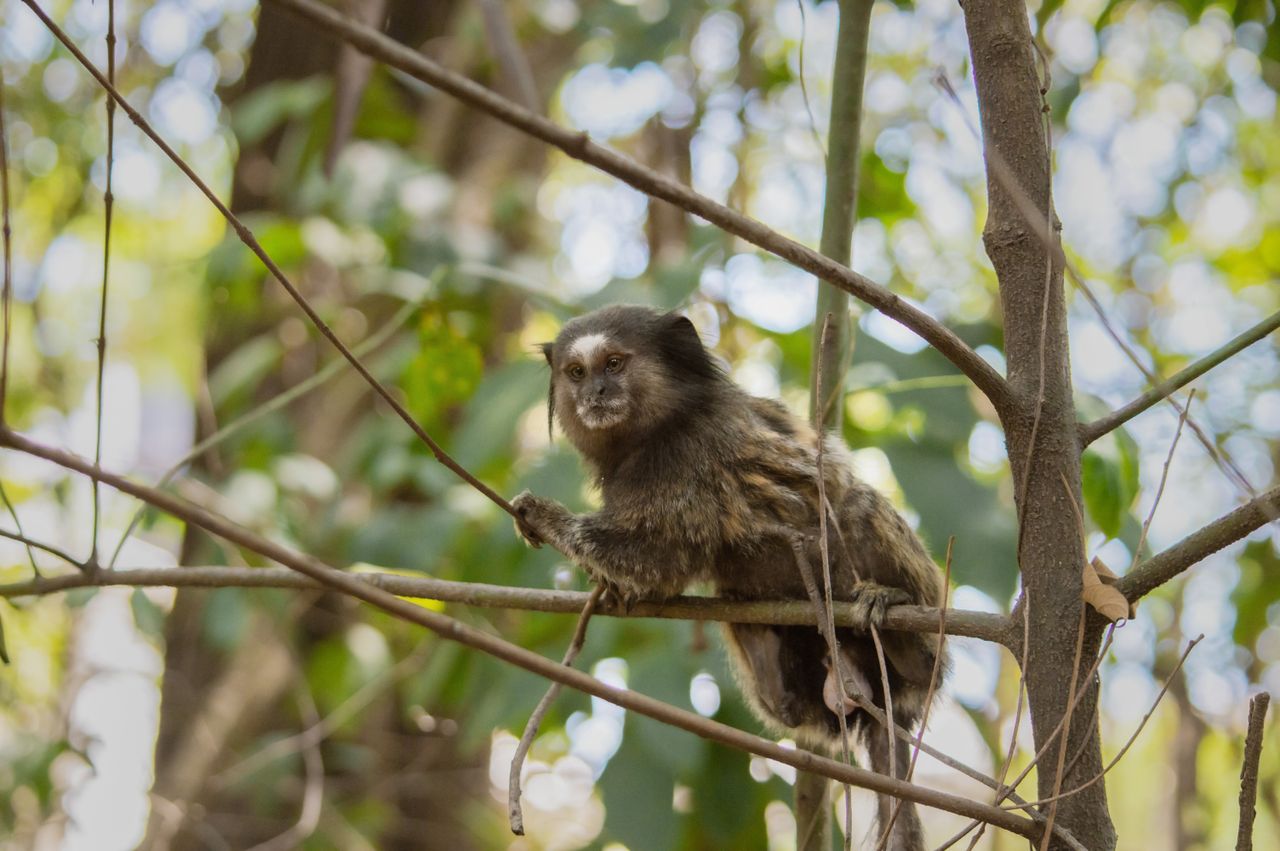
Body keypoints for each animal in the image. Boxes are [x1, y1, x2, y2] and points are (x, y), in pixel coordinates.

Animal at [511, 305, 944, 850]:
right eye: (576, 372)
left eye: (613, 364)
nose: (596, 393)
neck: (655, 428)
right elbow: (656, 572)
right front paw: (610, 588)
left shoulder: (690, 455)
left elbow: (656, 555)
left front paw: (542, 515)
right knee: (776, 684)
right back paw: (765, 647)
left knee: (859, 507)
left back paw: (901, 633)